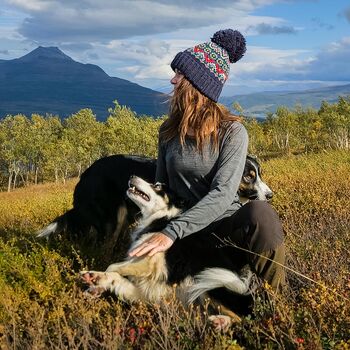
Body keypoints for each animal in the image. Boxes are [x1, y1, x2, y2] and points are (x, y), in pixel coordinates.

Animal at [82, 176, 258, 332]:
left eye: (157, 186)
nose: (132, 176)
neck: (162, 218)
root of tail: (246, 297)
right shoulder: (145, 293)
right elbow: (116, 277)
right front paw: (95, 281)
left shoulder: (155, 262)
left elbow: (113, 267)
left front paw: (96, 283)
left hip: (211, 283)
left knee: (242, 320)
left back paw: (221, 322)